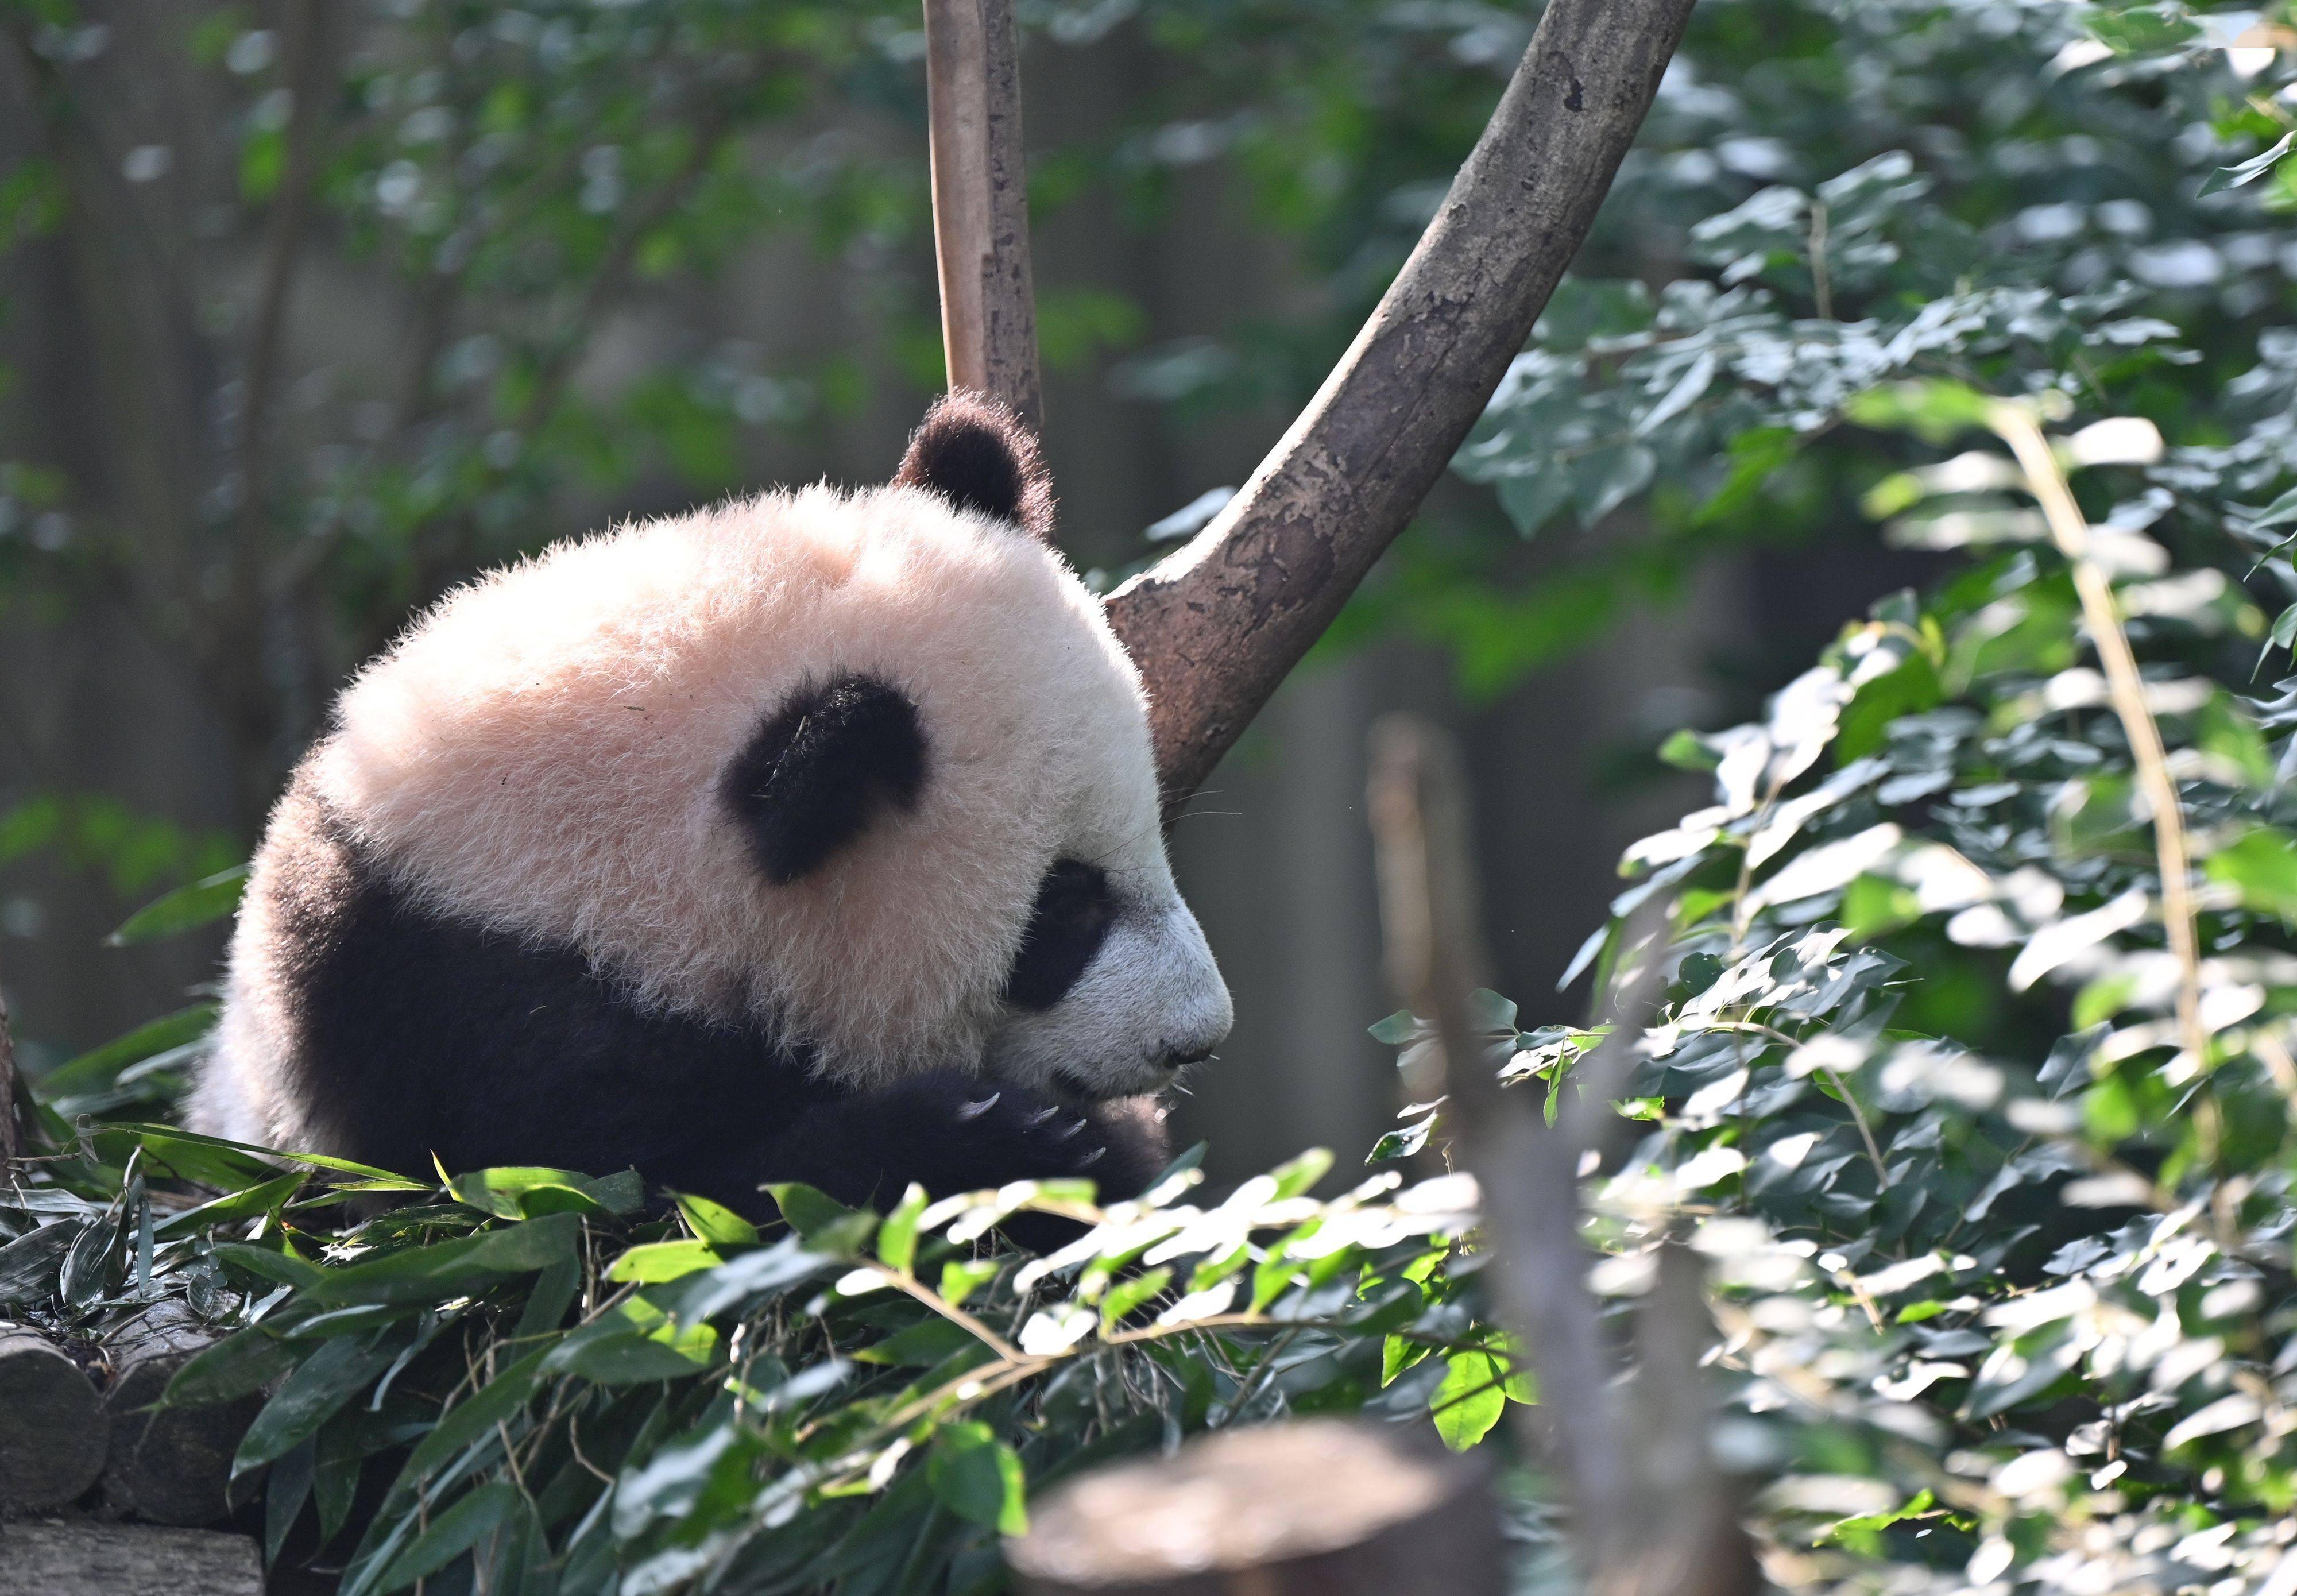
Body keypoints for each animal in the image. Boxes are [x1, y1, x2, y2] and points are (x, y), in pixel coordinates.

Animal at [186, 392, 1231, 1222]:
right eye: (1065, 906)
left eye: (1154, 833)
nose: (1199, 1037)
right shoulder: (466, 1010)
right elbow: (612, 1202)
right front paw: (1007, 1138)